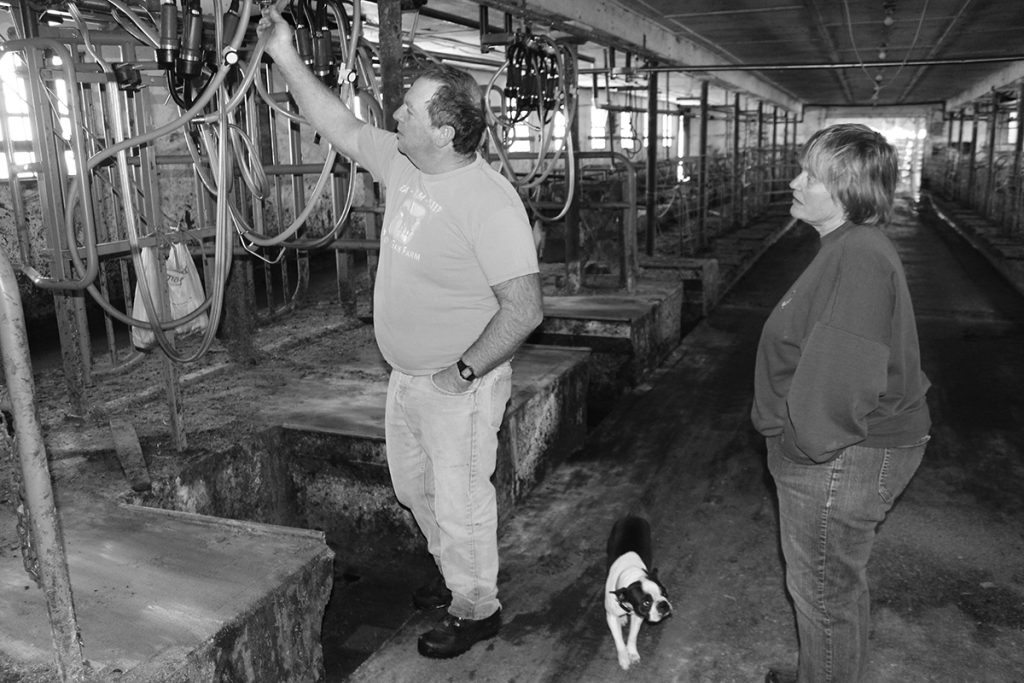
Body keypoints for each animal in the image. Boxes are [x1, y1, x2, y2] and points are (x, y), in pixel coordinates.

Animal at [598, 516, 671, 671]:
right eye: (646, 603)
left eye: (665, 593)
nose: (663, 605)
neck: (631, 574)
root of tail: (631, 516)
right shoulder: (611, 617)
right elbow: (618, 640)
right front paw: (624, 657)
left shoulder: (638, 617)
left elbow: (632, 636)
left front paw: (632, 653)